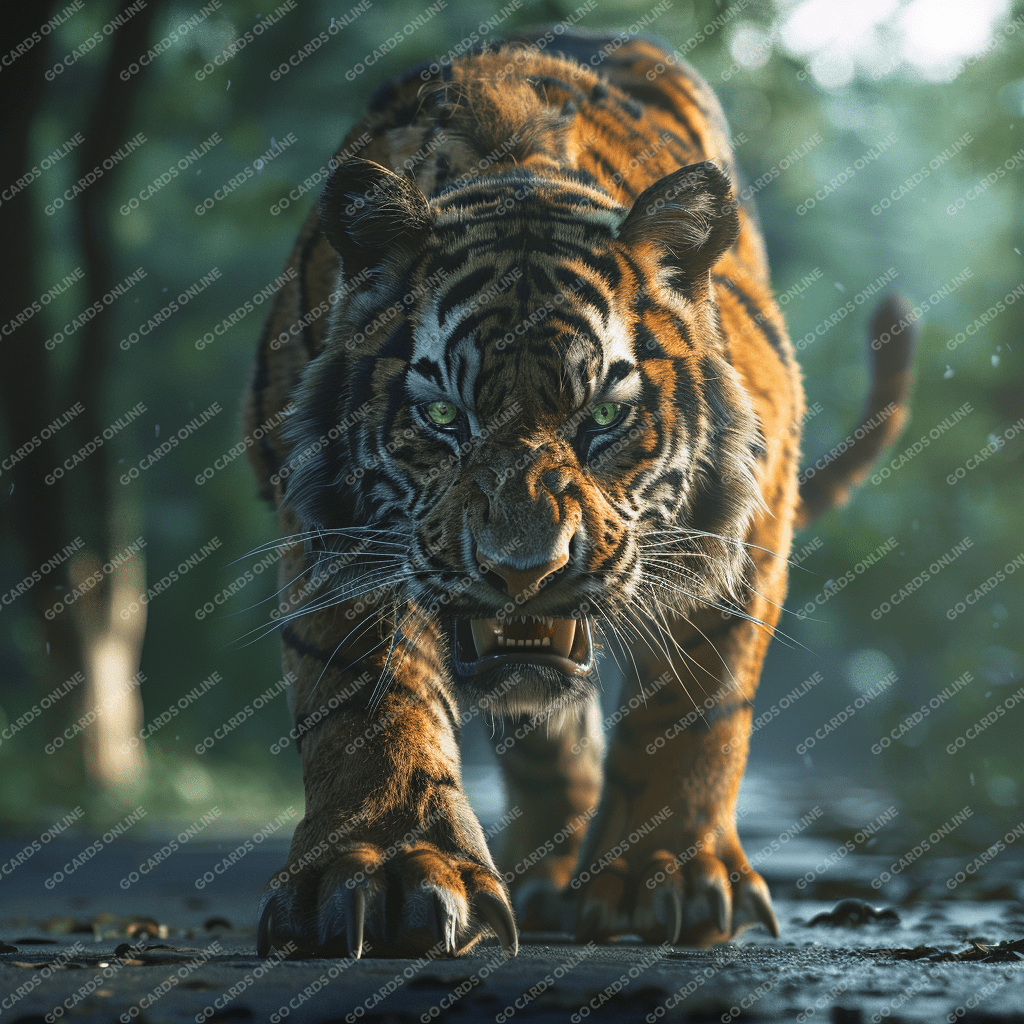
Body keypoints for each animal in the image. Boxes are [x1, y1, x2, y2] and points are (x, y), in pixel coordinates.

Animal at [243, 28, 916, 959]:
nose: (523, 570)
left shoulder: (749, 524)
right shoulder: (331, 531)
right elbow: (367, 699)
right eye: (443, 415)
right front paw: (384, 869)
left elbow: (696, 704)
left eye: (602, 414)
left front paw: (664, 878)